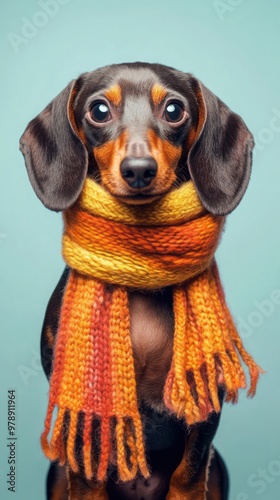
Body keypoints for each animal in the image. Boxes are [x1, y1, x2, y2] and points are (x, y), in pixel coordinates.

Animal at [19, 60, 254, 498]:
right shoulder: (84, 412)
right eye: (98, 110)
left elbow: (188, 473)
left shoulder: (205, 404)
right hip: (54, 472)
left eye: (175, 110)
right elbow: (87, 478)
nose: (139, 171)